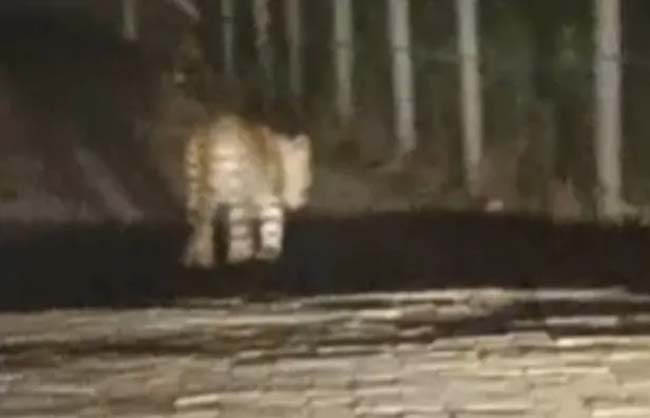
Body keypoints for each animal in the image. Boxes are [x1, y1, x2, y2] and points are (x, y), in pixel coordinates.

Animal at [181, 113, 313, 269]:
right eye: (305, 174)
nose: (303, 201)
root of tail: (209, 137)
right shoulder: (266, 198)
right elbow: (265, 226)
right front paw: (260, 251)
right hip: (234, 196)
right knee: (230, 225)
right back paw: (233, 257)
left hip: (195, 192)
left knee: (198, 223)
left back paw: (197, 257)